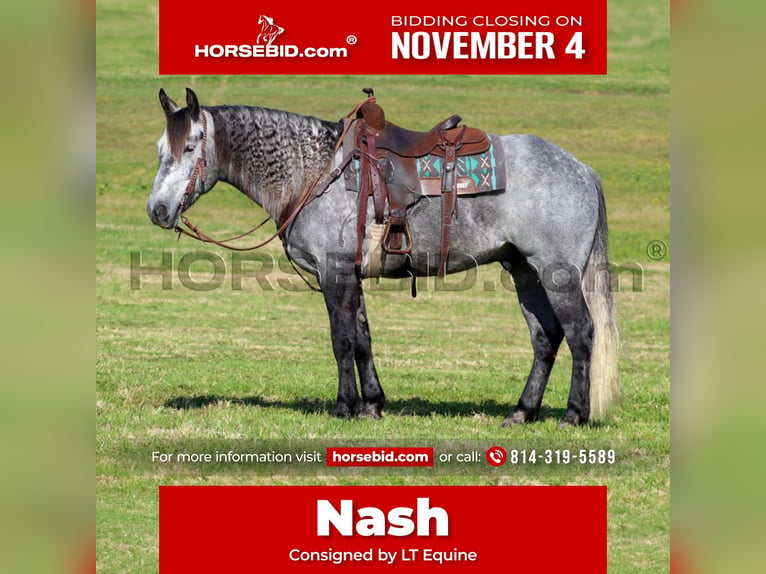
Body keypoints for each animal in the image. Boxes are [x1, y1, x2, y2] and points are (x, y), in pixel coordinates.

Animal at [147, 86, 620, 428]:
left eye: (189, 147)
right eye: (160, 150)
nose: (158, 211)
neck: (314, 171)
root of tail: (582, 170)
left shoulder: (335, 274)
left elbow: (341, 340)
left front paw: (344, 407)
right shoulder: (350, 277)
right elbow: (362, 339)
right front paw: (372, 405)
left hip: (557, 273)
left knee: (580, 333)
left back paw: (574, 415)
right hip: (524, 271)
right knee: (545, 338)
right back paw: (522, 412)